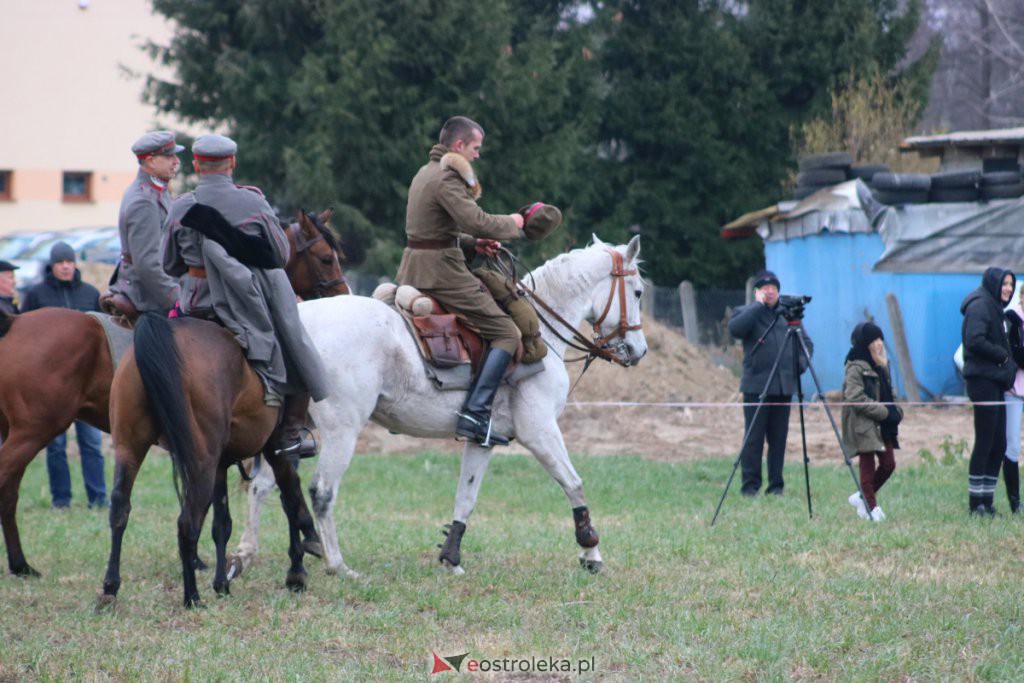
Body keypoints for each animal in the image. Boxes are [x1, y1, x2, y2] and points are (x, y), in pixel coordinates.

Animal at [0, 208, 348, 577]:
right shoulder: (262, 442)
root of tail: (15, 322)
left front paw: (198, 559)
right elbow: (283, 488)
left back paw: (21, 563)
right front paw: (310, 538)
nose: (344, 292)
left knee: (10, 492)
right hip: (33, 431)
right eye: (326, 258)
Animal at [235, 236, 643, 577]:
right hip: (341, 430)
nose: (638, 352)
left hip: (291, 434)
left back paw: (245, 554)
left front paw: (451, 557)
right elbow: (574, 484)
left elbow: (466, 498)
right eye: (638, 291)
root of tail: (300, 322)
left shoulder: (484, 439)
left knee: (263, 486)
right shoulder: (539, 431)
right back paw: (337, 565)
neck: (540, 329)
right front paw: (590, 551)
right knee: (322, 491)